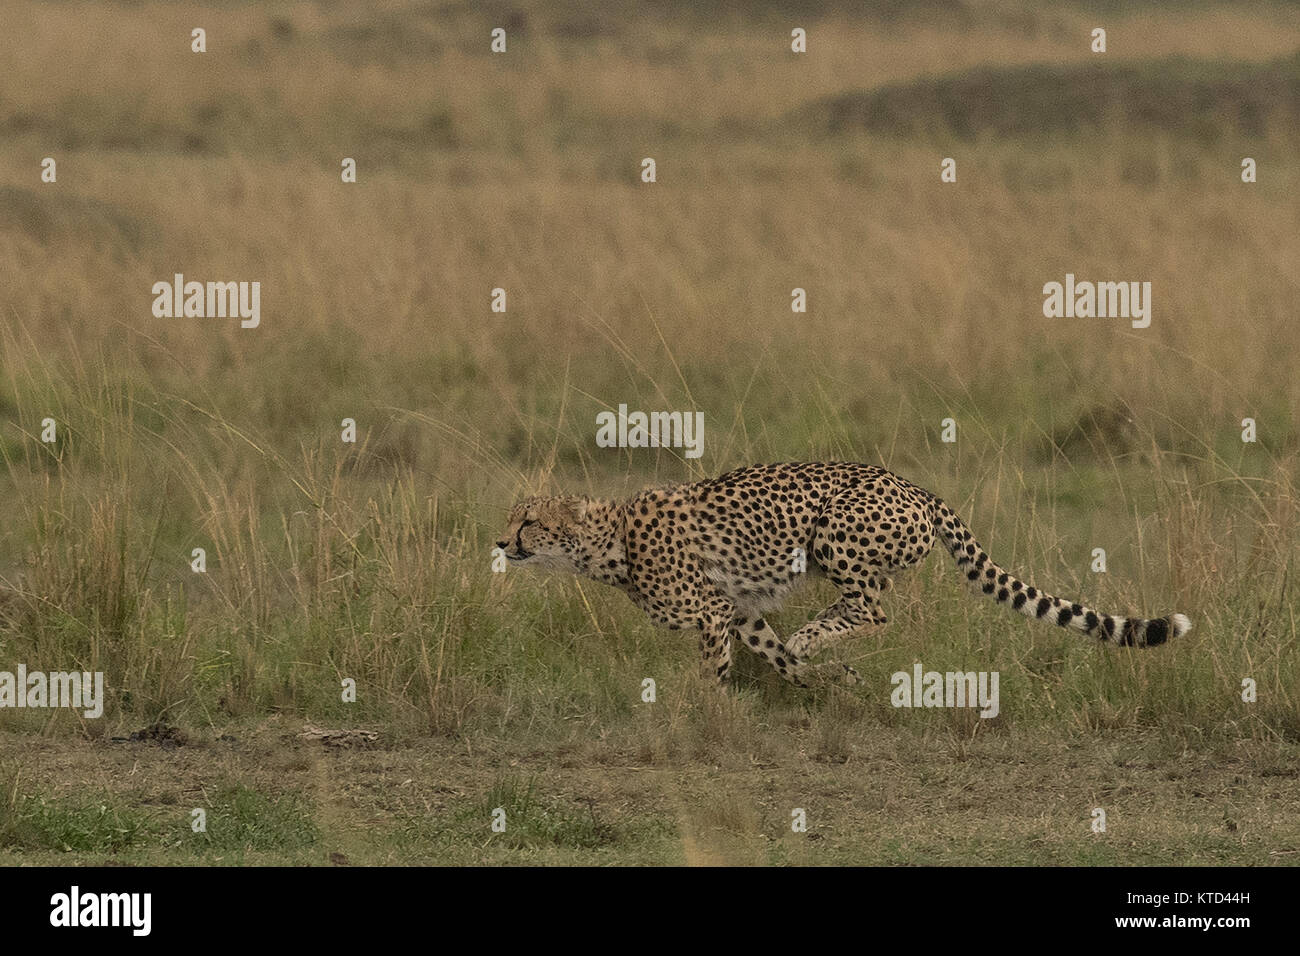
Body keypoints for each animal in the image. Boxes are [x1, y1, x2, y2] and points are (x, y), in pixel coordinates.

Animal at [493, 463, 1190, 686]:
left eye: (529, 521)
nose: (501, 541)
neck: (609, 543)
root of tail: (913, 484)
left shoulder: (713, 612)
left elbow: (715, 668)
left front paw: (704, 711)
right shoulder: (739, 610)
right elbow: (773, 653)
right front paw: (824, 683)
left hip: (832, 534)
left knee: (875, 610)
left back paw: (820, 634)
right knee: (861, 609)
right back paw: (819, 644)